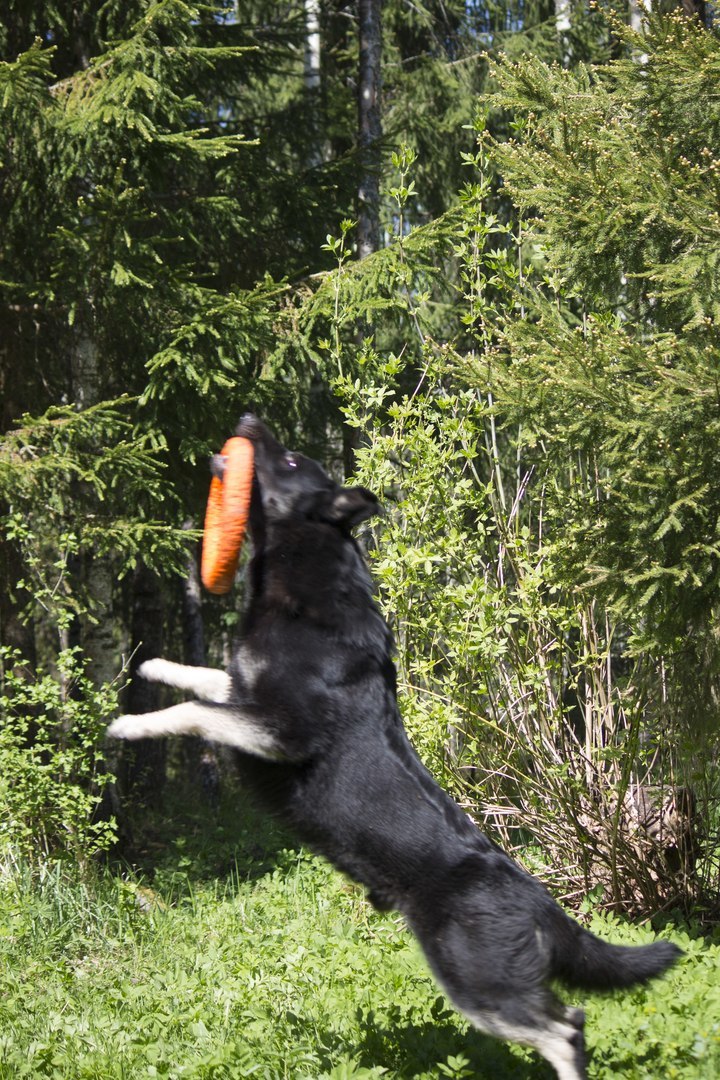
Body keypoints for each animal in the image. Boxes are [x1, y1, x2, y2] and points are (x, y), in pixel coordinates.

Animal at [106, 414, 682, 1080]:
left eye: (292, 461)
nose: (248, 421)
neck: (308, 581)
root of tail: (541, 900)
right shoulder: (246, 692)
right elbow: (201, 679)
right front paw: (151, 668)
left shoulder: (282, 729)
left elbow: (194, 712)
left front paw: (128, 726)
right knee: (574, 1019)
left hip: (474, 980)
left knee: (565, 1029)